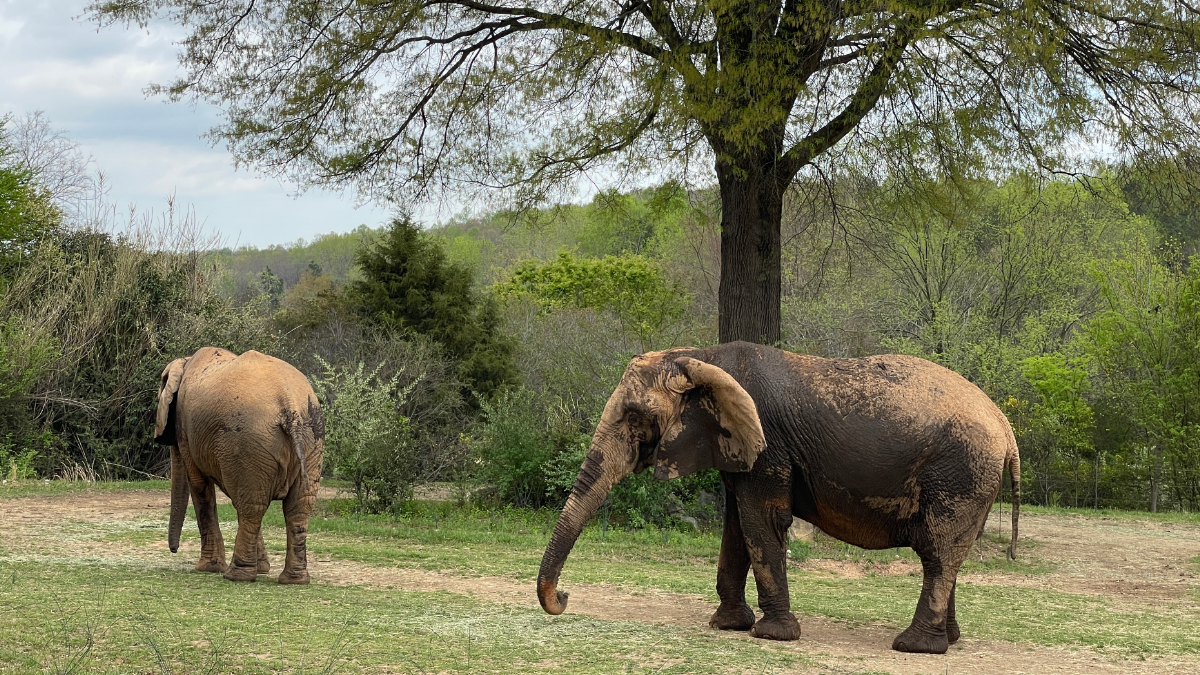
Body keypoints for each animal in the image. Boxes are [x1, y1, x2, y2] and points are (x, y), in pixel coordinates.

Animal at [154, 347, 325, 584]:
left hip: (246, 438)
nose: (173, 549)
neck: (185, 361)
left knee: (252, 507)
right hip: (309, 439)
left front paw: (207, 568)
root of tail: (288, 403)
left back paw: (236, 576)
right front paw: (262, 568)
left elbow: (199, 485)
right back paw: (293, 580)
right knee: (297, 507)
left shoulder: (186, 430)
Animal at [537, 341, 1020, 654]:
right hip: (972, 480)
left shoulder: (769, 446)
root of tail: (1006, 426)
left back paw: (914, 647)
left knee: (937, 552)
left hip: (960, 473)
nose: (566, 598)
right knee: (948, 554)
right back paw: (947, 641)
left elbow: (762, 521)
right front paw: (728, 626)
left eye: (636, 417)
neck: (701, 356)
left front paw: (770, 635)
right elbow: (737, 524)